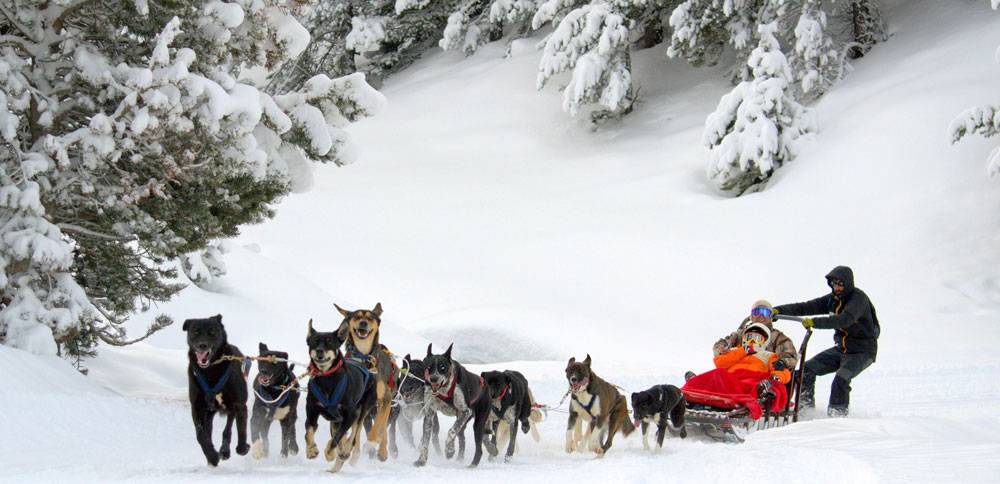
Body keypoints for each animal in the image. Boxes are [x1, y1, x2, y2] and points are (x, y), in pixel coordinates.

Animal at [183, 314, 249, 466]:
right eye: (195, 331)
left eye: (212, 332)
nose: (202, 345)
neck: (211, 371)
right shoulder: (197, 407)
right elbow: (200, 435)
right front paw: (211, 456)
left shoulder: (239, 405)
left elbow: (241, 430)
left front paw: (243, 448)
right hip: (209, 413)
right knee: (208, 431)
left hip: (230, 408)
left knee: (228, 429)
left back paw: (225, 450)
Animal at [302, 322, 376, 472]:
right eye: (314, 341)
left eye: (330, 342)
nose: (319, 351)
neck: (326, 377)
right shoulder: (312, 411)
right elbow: (308, 433)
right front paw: (311, 450)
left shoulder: (350, 414)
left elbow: (338, 438)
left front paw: (329, 452)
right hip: (336, 420)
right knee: (342, 435)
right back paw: (336, 464)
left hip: (361, 412)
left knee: (353, 435)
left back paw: (345, 451)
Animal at [336, 302, 398, 462]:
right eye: (357, 316)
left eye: (370, 318)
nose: (363, 323)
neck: (364, 358)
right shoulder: (356, 402)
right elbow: (355, 430)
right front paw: (353, 449)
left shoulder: (385, 398)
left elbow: (378, 426)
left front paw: (371, 443)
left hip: (387, 400)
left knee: (383, 425)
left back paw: (381, 450)